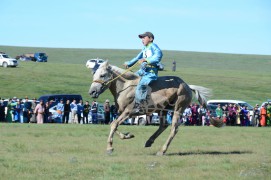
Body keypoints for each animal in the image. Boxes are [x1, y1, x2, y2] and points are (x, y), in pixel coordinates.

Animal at [89, 61, 221, 155]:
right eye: (94, 75)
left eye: (102, 75)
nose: (92, 92)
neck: (126, 87)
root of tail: (187, 85)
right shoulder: (122, 113)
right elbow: (113, 124)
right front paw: (127, 135)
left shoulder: (128, 112)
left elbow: (113, 124)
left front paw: (110, 148)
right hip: (163, 110)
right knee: (163, 125)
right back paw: (149, 141)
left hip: (178, 109)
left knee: (174, 129)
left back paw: (162, 150)